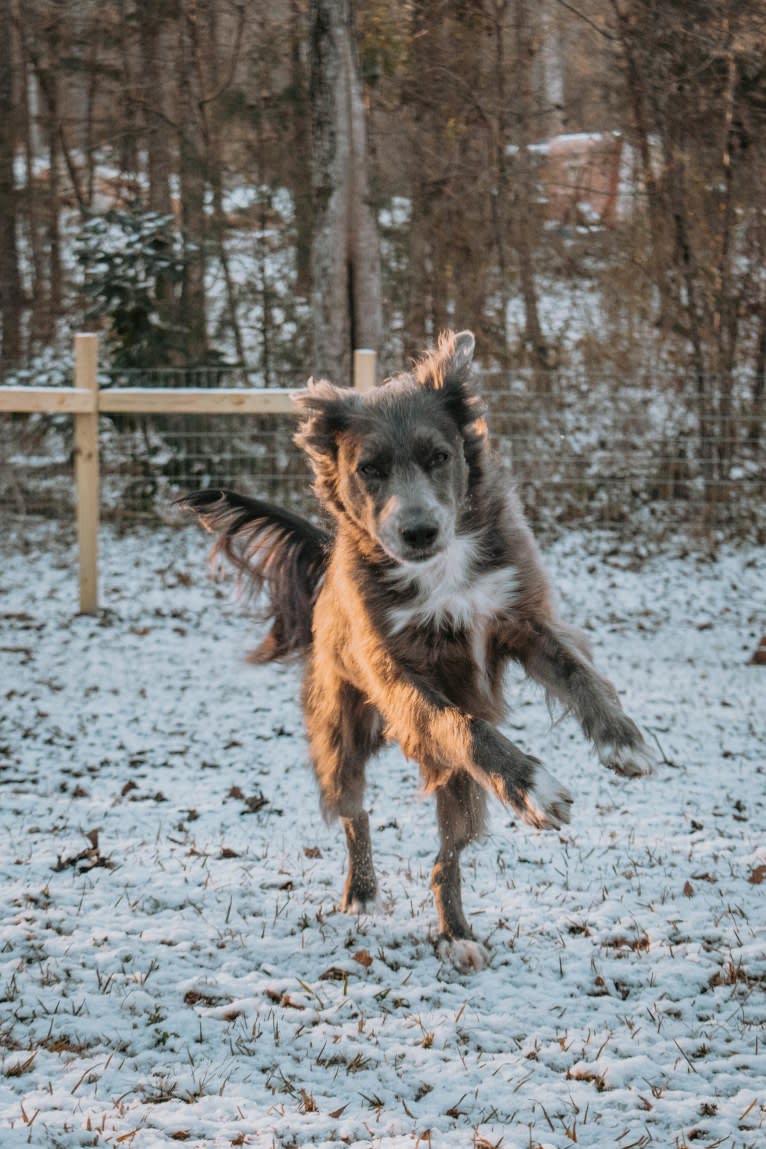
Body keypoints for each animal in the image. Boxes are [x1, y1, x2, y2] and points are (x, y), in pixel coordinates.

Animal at [178, 330, 652, 969]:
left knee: (444, 857)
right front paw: (533, 786)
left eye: (439, 457)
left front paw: (621, 740)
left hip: (455, 785)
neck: (441, 569)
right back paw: (366, 892)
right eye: (370, 469)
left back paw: (456, 932)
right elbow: (466, 728)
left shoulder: (525, 621)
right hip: (341, 737)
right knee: (354, 811)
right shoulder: (402, 679)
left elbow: (580, 675)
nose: (420, 532)